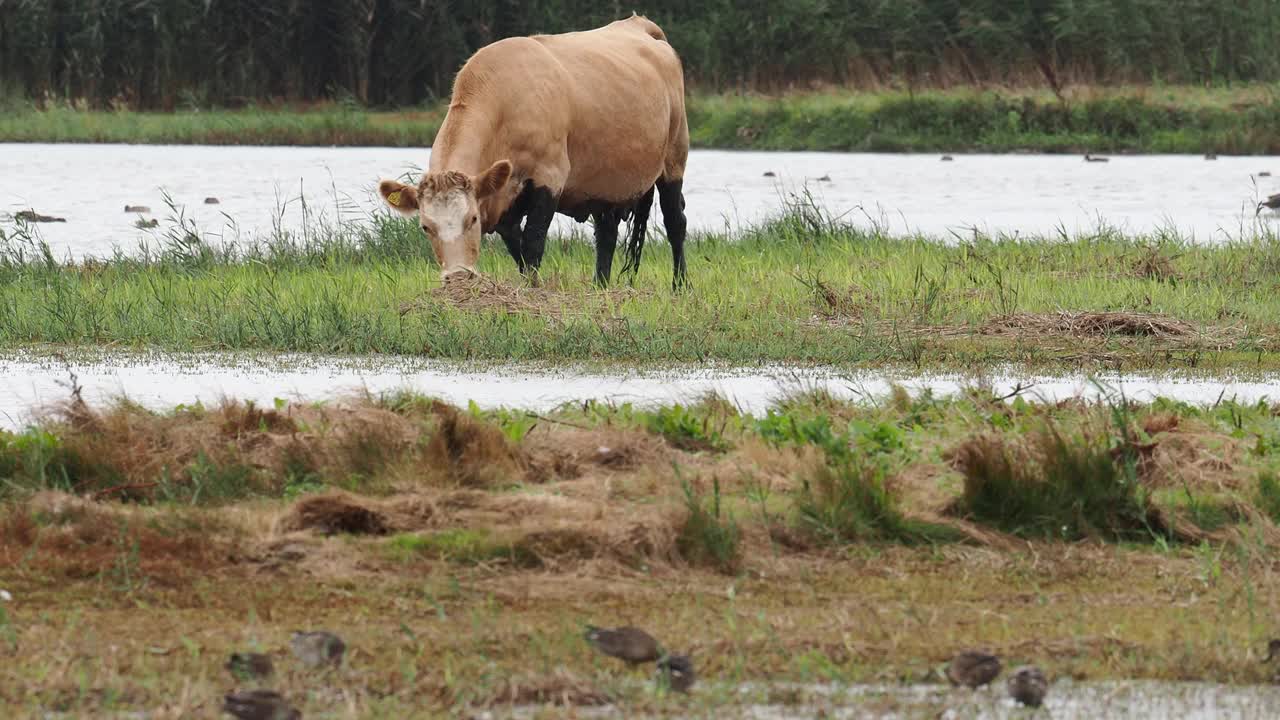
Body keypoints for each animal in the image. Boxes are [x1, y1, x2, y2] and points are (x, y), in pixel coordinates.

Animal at [373, 12, 686, 286]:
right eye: (426, 227)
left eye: (471, 219)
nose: (458, 278)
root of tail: (640, 25)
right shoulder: (502, 203)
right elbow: (519, 252)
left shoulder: (549, 178)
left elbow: (533, 244)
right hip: (605, 183)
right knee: (606, 235)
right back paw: (600, 286)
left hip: (674, 158)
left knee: (675, 223)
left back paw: (680, 286)